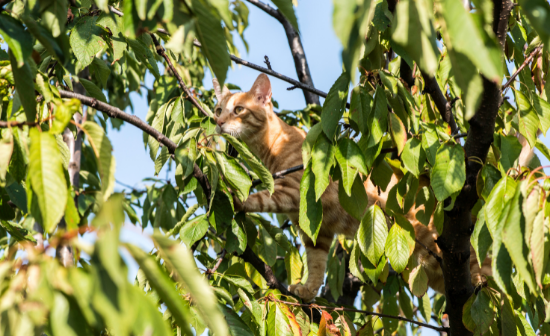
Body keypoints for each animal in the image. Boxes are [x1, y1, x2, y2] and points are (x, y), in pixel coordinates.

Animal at [213, 73, 494, 302]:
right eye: (218, 110)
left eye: (238, 109)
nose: (218, 123)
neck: (271, 148)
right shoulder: (317, 231)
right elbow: (316, 264)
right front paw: (308, 290)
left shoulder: (294, 192)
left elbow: (260, 198)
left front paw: (234, 195)